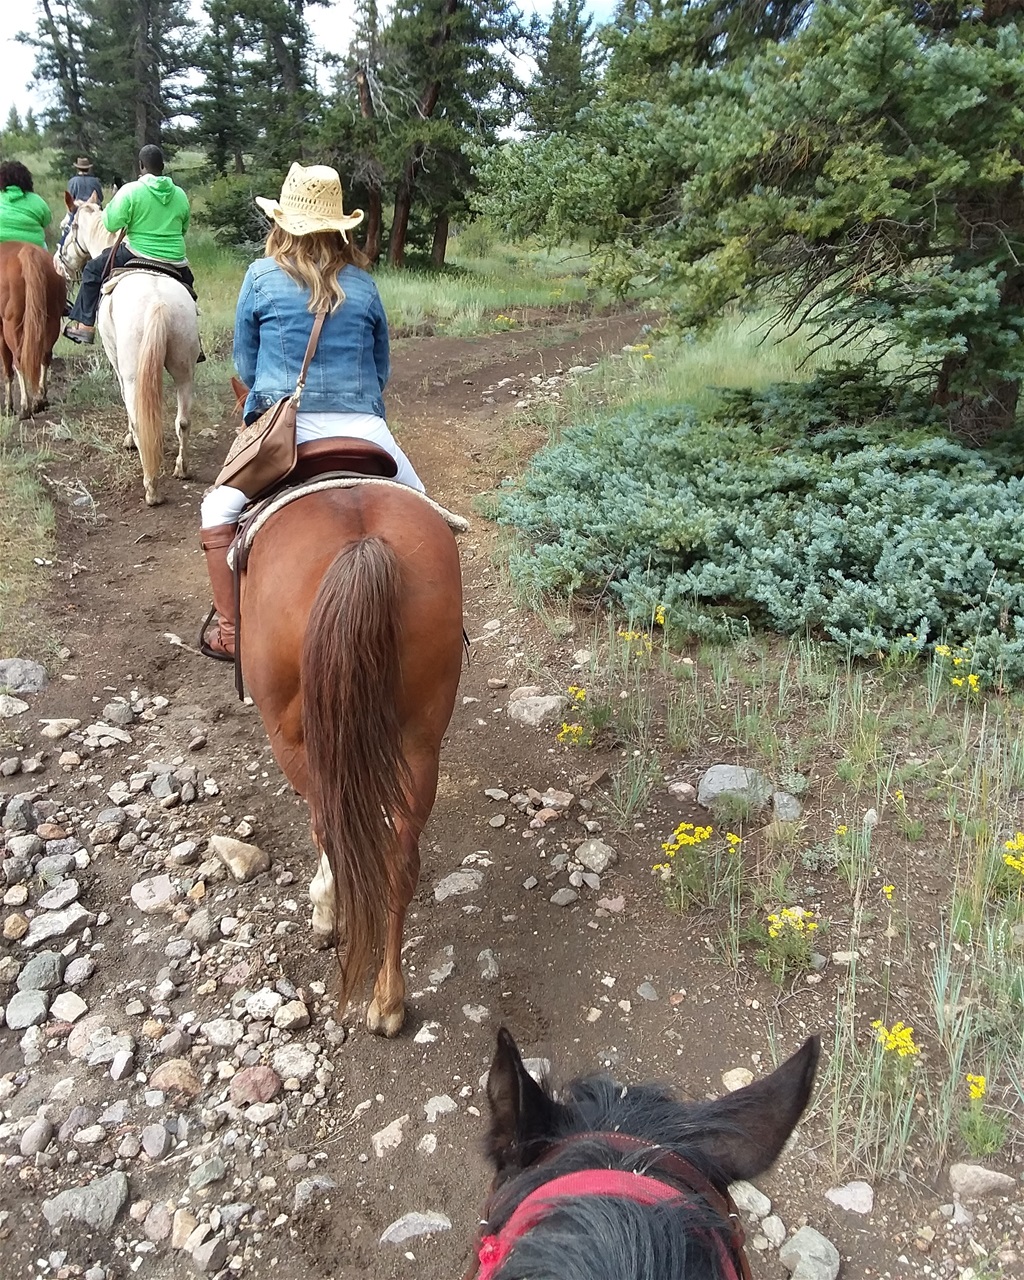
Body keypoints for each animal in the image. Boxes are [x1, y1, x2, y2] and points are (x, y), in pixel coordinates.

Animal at [0, 241, 65, 417]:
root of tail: (28, 252)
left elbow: (7, 368)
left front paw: (8, 406)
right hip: (52, 321)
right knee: (45, 356)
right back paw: (40, 399)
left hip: (12, 326)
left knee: (19, 360)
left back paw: (25, 406)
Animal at [56, 194, 199, 504]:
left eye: (65, 227)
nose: (57, 265)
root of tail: (158, 301)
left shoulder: (117, 364)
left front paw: (129, 441)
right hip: (184, 369)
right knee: (182, 420)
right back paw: (182, 469)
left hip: (134, 373)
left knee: (138, 415)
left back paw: (151, 488)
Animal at [240, 483, 463, 1034]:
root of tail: (363, 546)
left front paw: (325, 912)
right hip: (421, 742)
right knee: (400, 861)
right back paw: (388, 1001)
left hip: (293, 736)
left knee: (329, 825)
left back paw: (333, 920)